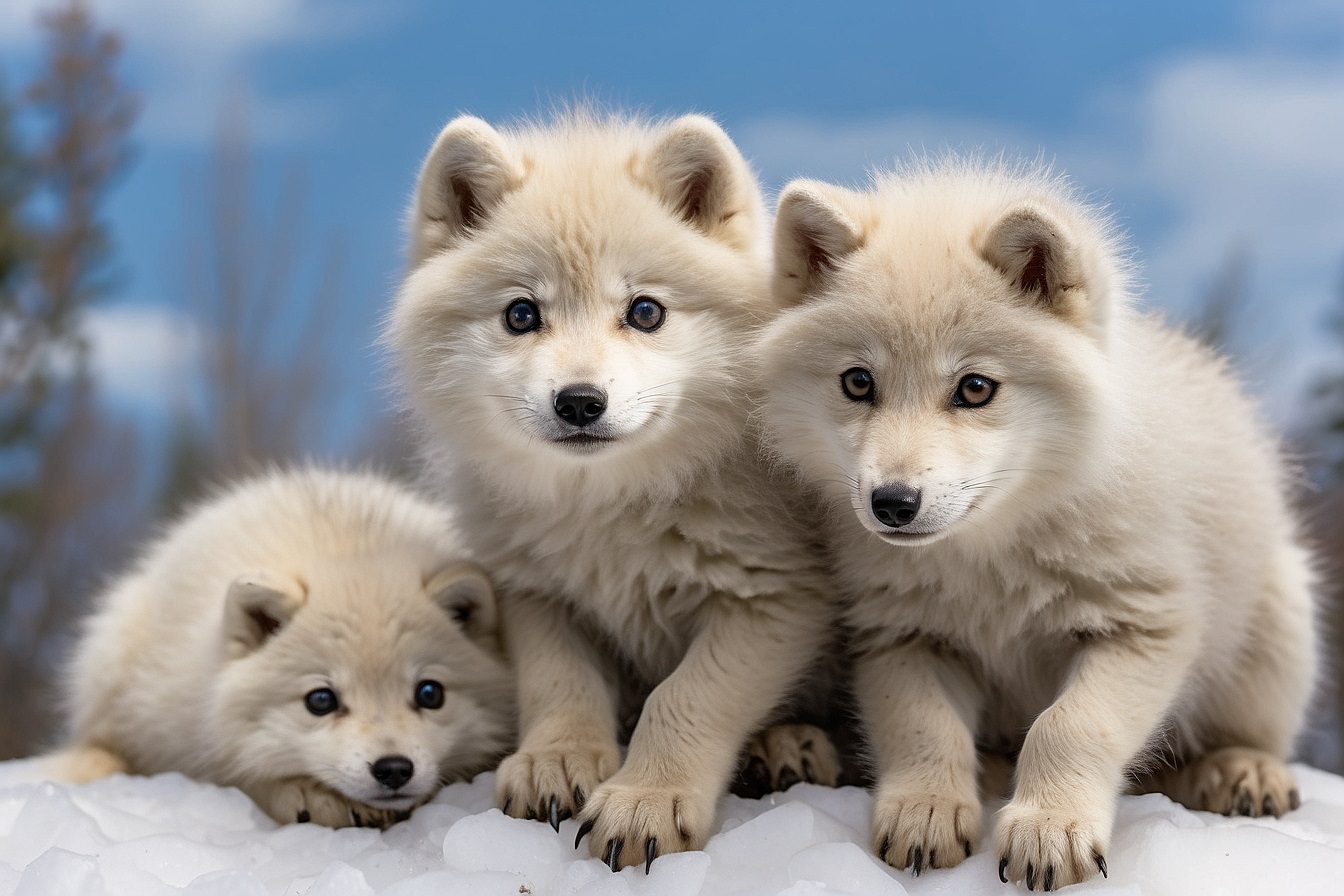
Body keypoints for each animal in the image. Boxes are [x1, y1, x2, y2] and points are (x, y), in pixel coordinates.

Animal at [386, 110, 838, 870]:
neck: (609, 508)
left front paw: (646, 801)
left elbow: (684, 698)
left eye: (646, 311)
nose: (578, 402)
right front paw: (558, 762)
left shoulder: (771, 601)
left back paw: (790, 745)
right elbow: (561, 685)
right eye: (521, 315)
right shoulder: (534, 595)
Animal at [756, 159, 1318, 889]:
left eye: (975, 388)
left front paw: (1051, 831)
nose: (893, 504)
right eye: (858, 382)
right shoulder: (902, 635)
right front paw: (926, 813)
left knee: (1229, 741)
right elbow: (922, 726)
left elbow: (1069, 725)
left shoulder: (1143, 626)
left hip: (1280, 617)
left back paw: (1240, 770)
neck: (994, 554)